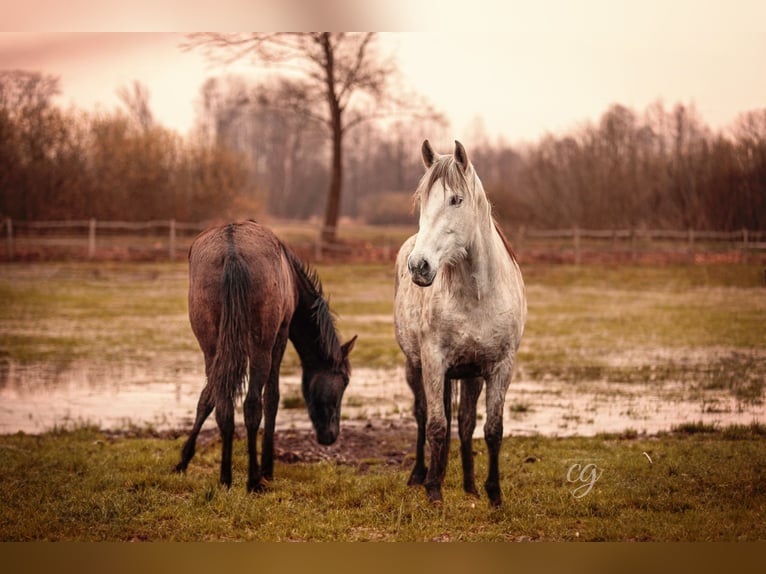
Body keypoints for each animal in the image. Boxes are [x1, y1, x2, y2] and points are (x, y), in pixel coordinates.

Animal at [175, 223, 356, 492]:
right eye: (344, 381)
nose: (331, 435)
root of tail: (232, 253)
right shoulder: (280, 336)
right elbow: (272, 398)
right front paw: (268, 468)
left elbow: (206, 399)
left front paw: (183, 461)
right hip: (261, 346)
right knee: (252, 404)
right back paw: (254, 479)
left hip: (211, 347)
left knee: (223, 403)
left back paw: (225, 478)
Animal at [396, 141, 528, 508]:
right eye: (423, 200)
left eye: (456, 199)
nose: (419, 266)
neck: (478, 295)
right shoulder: (433, 362)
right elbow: (437, 426)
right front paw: (434, 490)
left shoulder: (500, 366)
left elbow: (492, 430)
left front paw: (494, 493)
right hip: (415, 367)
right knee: (422, 416)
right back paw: (421, 474)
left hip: (471, 375)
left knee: (466, 423)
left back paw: (469, 485)